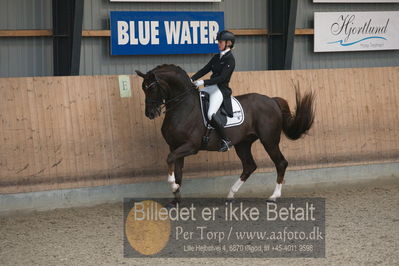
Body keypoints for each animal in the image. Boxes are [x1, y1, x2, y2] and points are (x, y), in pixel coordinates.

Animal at [137, 64, 316, 204]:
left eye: (152, 88)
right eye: (143, 89)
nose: (149, 114)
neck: (183, 106)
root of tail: (272, 100)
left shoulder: (190, 147)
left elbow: (169, 159)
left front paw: (172, 184)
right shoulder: (176, 146)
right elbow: (178, 170)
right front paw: (176, 197)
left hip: (269, 141)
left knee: (281, 163)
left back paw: (273, 196)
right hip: (243, 143)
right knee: (249, 166)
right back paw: (230, 194)